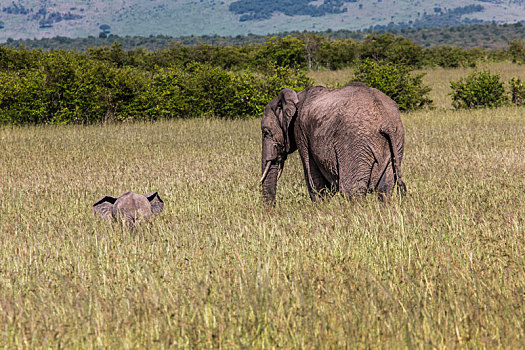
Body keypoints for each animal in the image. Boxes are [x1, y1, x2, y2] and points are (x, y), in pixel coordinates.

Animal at [260, 82, 406, 202]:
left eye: (266, 132)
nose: (272, 209)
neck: (296, 95)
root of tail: (386, 122)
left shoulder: (300, 130)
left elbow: (313, 177)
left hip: (354, 143)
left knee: (351, 189)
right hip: (396, 139)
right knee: (385, 188)